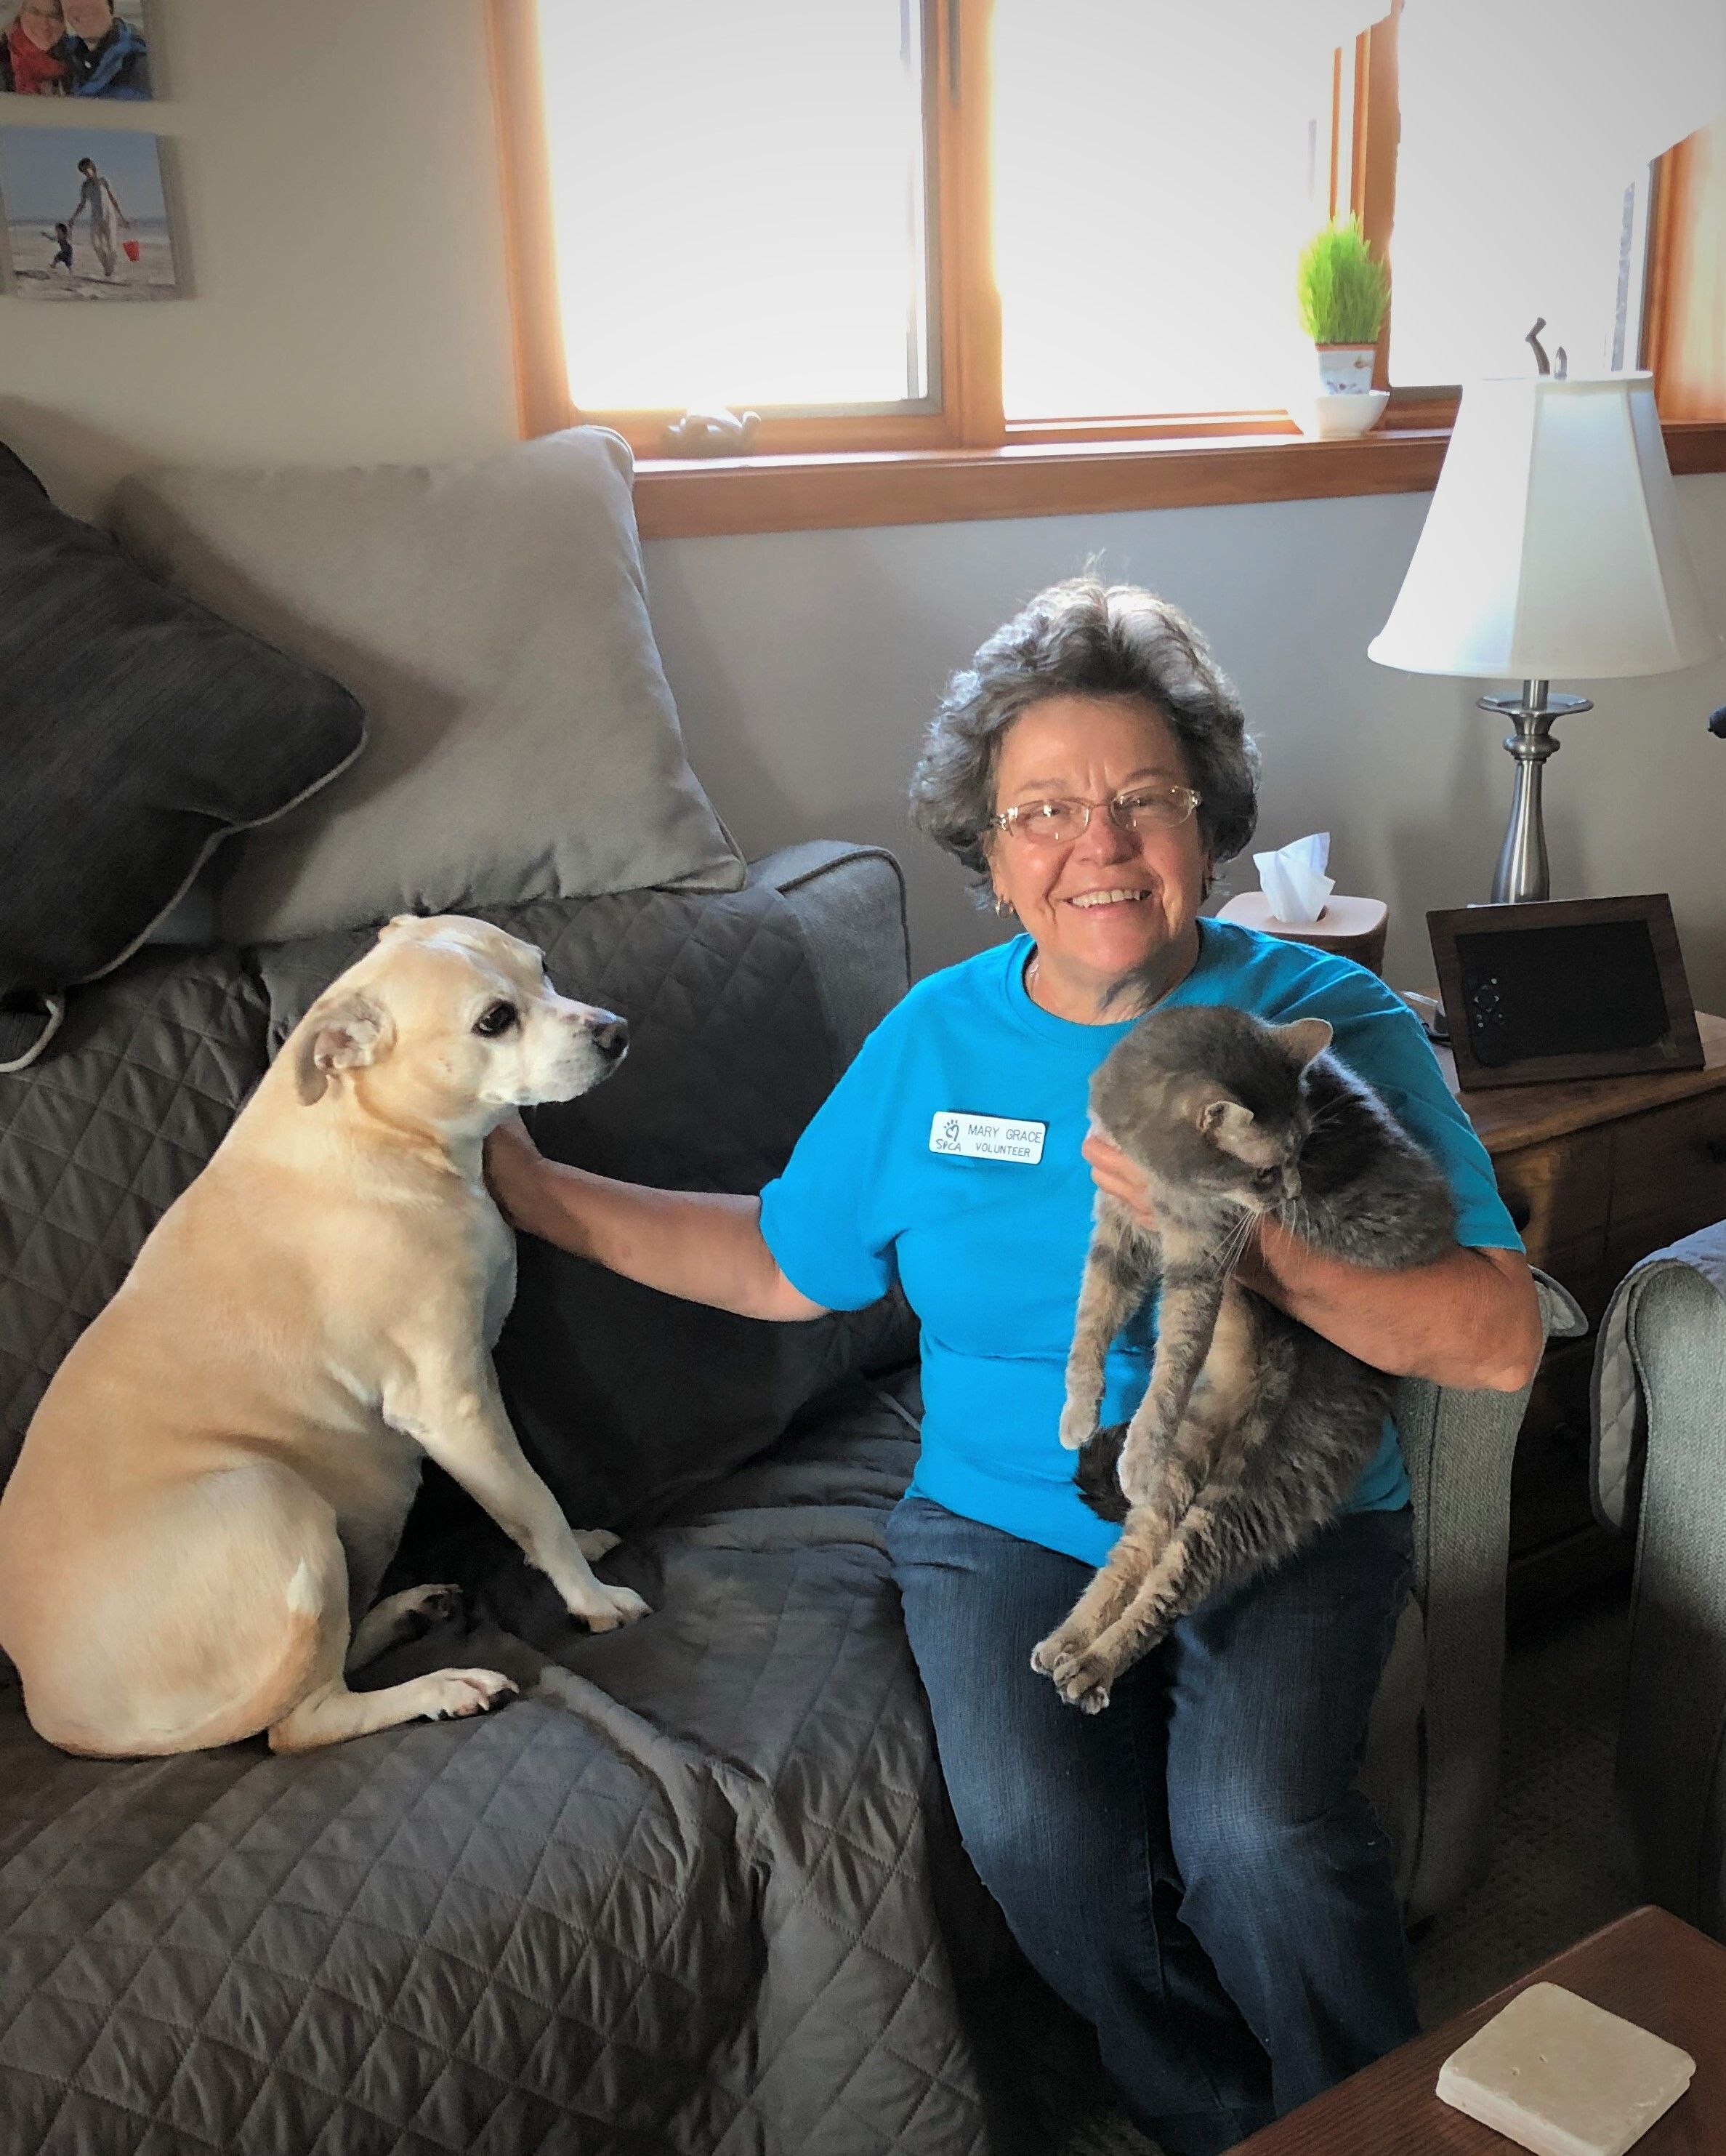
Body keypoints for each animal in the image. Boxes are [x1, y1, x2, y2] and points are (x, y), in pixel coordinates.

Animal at [0, 909, 646, 1750]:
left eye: (543, 966)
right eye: (493, 1020)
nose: (615, 1031)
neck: (378, 1130)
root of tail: (52, 1712)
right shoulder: (454, 1407)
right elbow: (533, 1504)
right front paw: (592, 1597)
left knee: (325, 1659)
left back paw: (404, 1614)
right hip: (277, 1499)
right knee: (302, 1720)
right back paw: (442, 1685)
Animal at [1039, 996, 1456, 1715]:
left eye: (1305, 1148)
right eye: (1265, 1167)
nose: (1286, 1193)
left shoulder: (1199, 1257)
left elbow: (1172, 1363)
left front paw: (1137, 1444)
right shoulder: (1117, 1226)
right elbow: (1090, 1323)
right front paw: (1076, 1410)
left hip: (1247, 1492)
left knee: (1170, 1588)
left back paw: (1094, 1665)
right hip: (1191, 1460)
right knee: (1134, 1557)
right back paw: (1070, 1640)